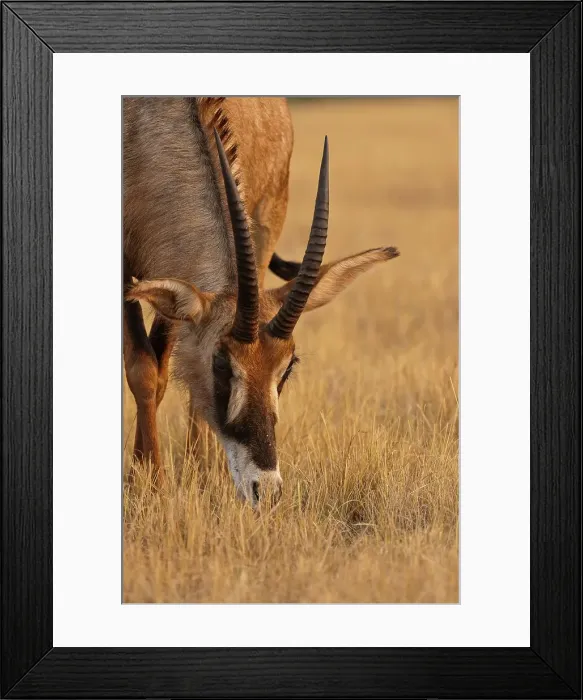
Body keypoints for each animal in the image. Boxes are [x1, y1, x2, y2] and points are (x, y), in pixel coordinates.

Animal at [123, 97, 399, 508]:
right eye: (221, 363)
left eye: (288, 366)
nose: (265, 489)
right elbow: (144, 370)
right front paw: (149, 485)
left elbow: (158, 374)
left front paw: (159, 479)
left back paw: (201, 473)